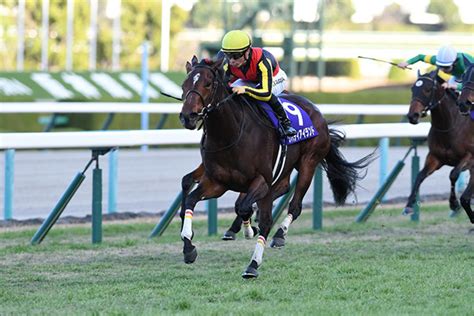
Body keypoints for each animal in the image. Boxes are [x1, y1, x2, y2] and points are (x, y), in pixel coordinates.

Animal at [178, 57, 374, 278]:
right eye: (184, 85)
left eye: (208, 84)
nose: (188, 116)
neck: (230, 134)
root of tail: (316, 111)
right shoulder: (217, 182)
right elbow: (192, 200)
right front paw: (189, 247)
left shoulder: (261, 180)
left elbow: (246, 209)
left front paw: (251, 242)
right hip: (282, 169)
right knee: (280, 188)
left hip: (308, 162)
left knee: (293, 206)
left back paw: (277, 237)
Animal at [404, 69, 474, 222]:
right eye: (412, 88)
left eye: (427, 89)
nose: (412, 116)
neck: (449, 126)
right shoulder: (435, 157)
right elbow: (420, 175)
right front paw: (409, 205)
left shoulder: (470, 157)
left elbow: (453, 174)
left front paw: (453, 203)